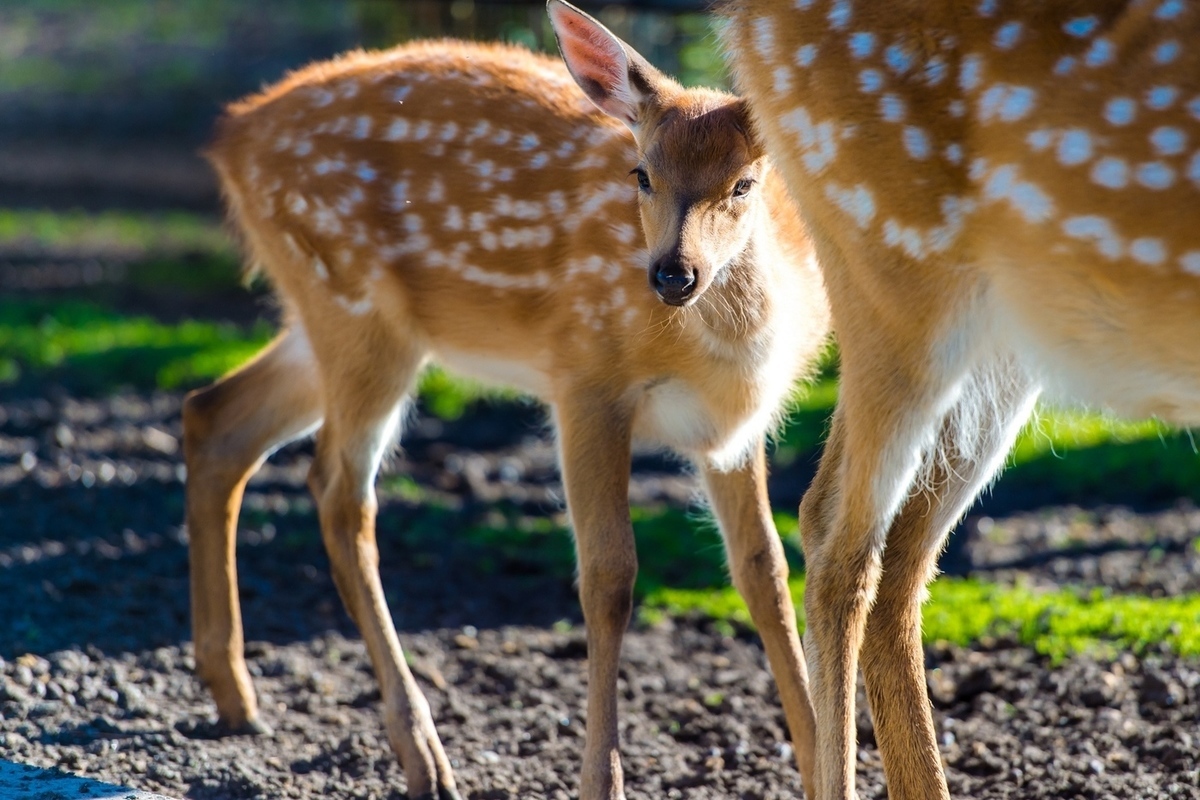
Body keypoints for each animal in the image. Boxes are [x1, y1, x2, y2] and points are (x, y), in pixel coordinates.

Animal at [184, 3, 835, 796]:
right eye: (642, 173)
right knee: (338, 490)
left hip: (326, 318)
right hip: (356, 309)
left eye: (744, 183)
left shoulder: (734, 430)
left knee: (216, 417)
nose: (671, 274)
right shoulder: (584, 379)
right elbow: (609, 578)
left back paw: (234, 695)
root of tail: (229, 136)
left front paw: (822, 766)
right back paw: (423, 754)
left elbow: (765, 572)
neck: (727, 355)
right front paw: (600, 780)